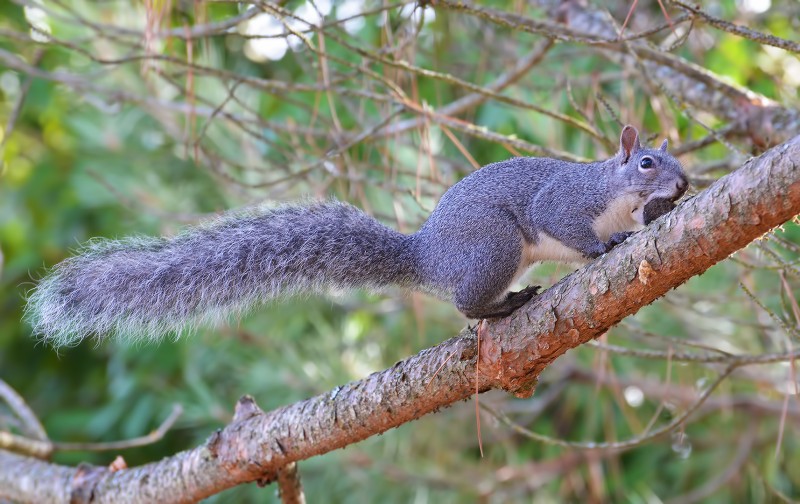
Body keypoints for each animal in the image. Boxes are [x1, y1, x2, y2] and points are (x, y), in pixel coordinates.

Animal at [25, 125, 688, 346]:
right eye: (647, 161)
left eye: (675, 157)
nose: (683, 182)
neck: (616, 195)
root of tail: (426, 255)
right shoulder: (566, 202)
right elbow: (567, 225)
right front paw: (604, 247)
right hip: (494, 246)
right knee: (465, 302)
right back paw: (505, 305)